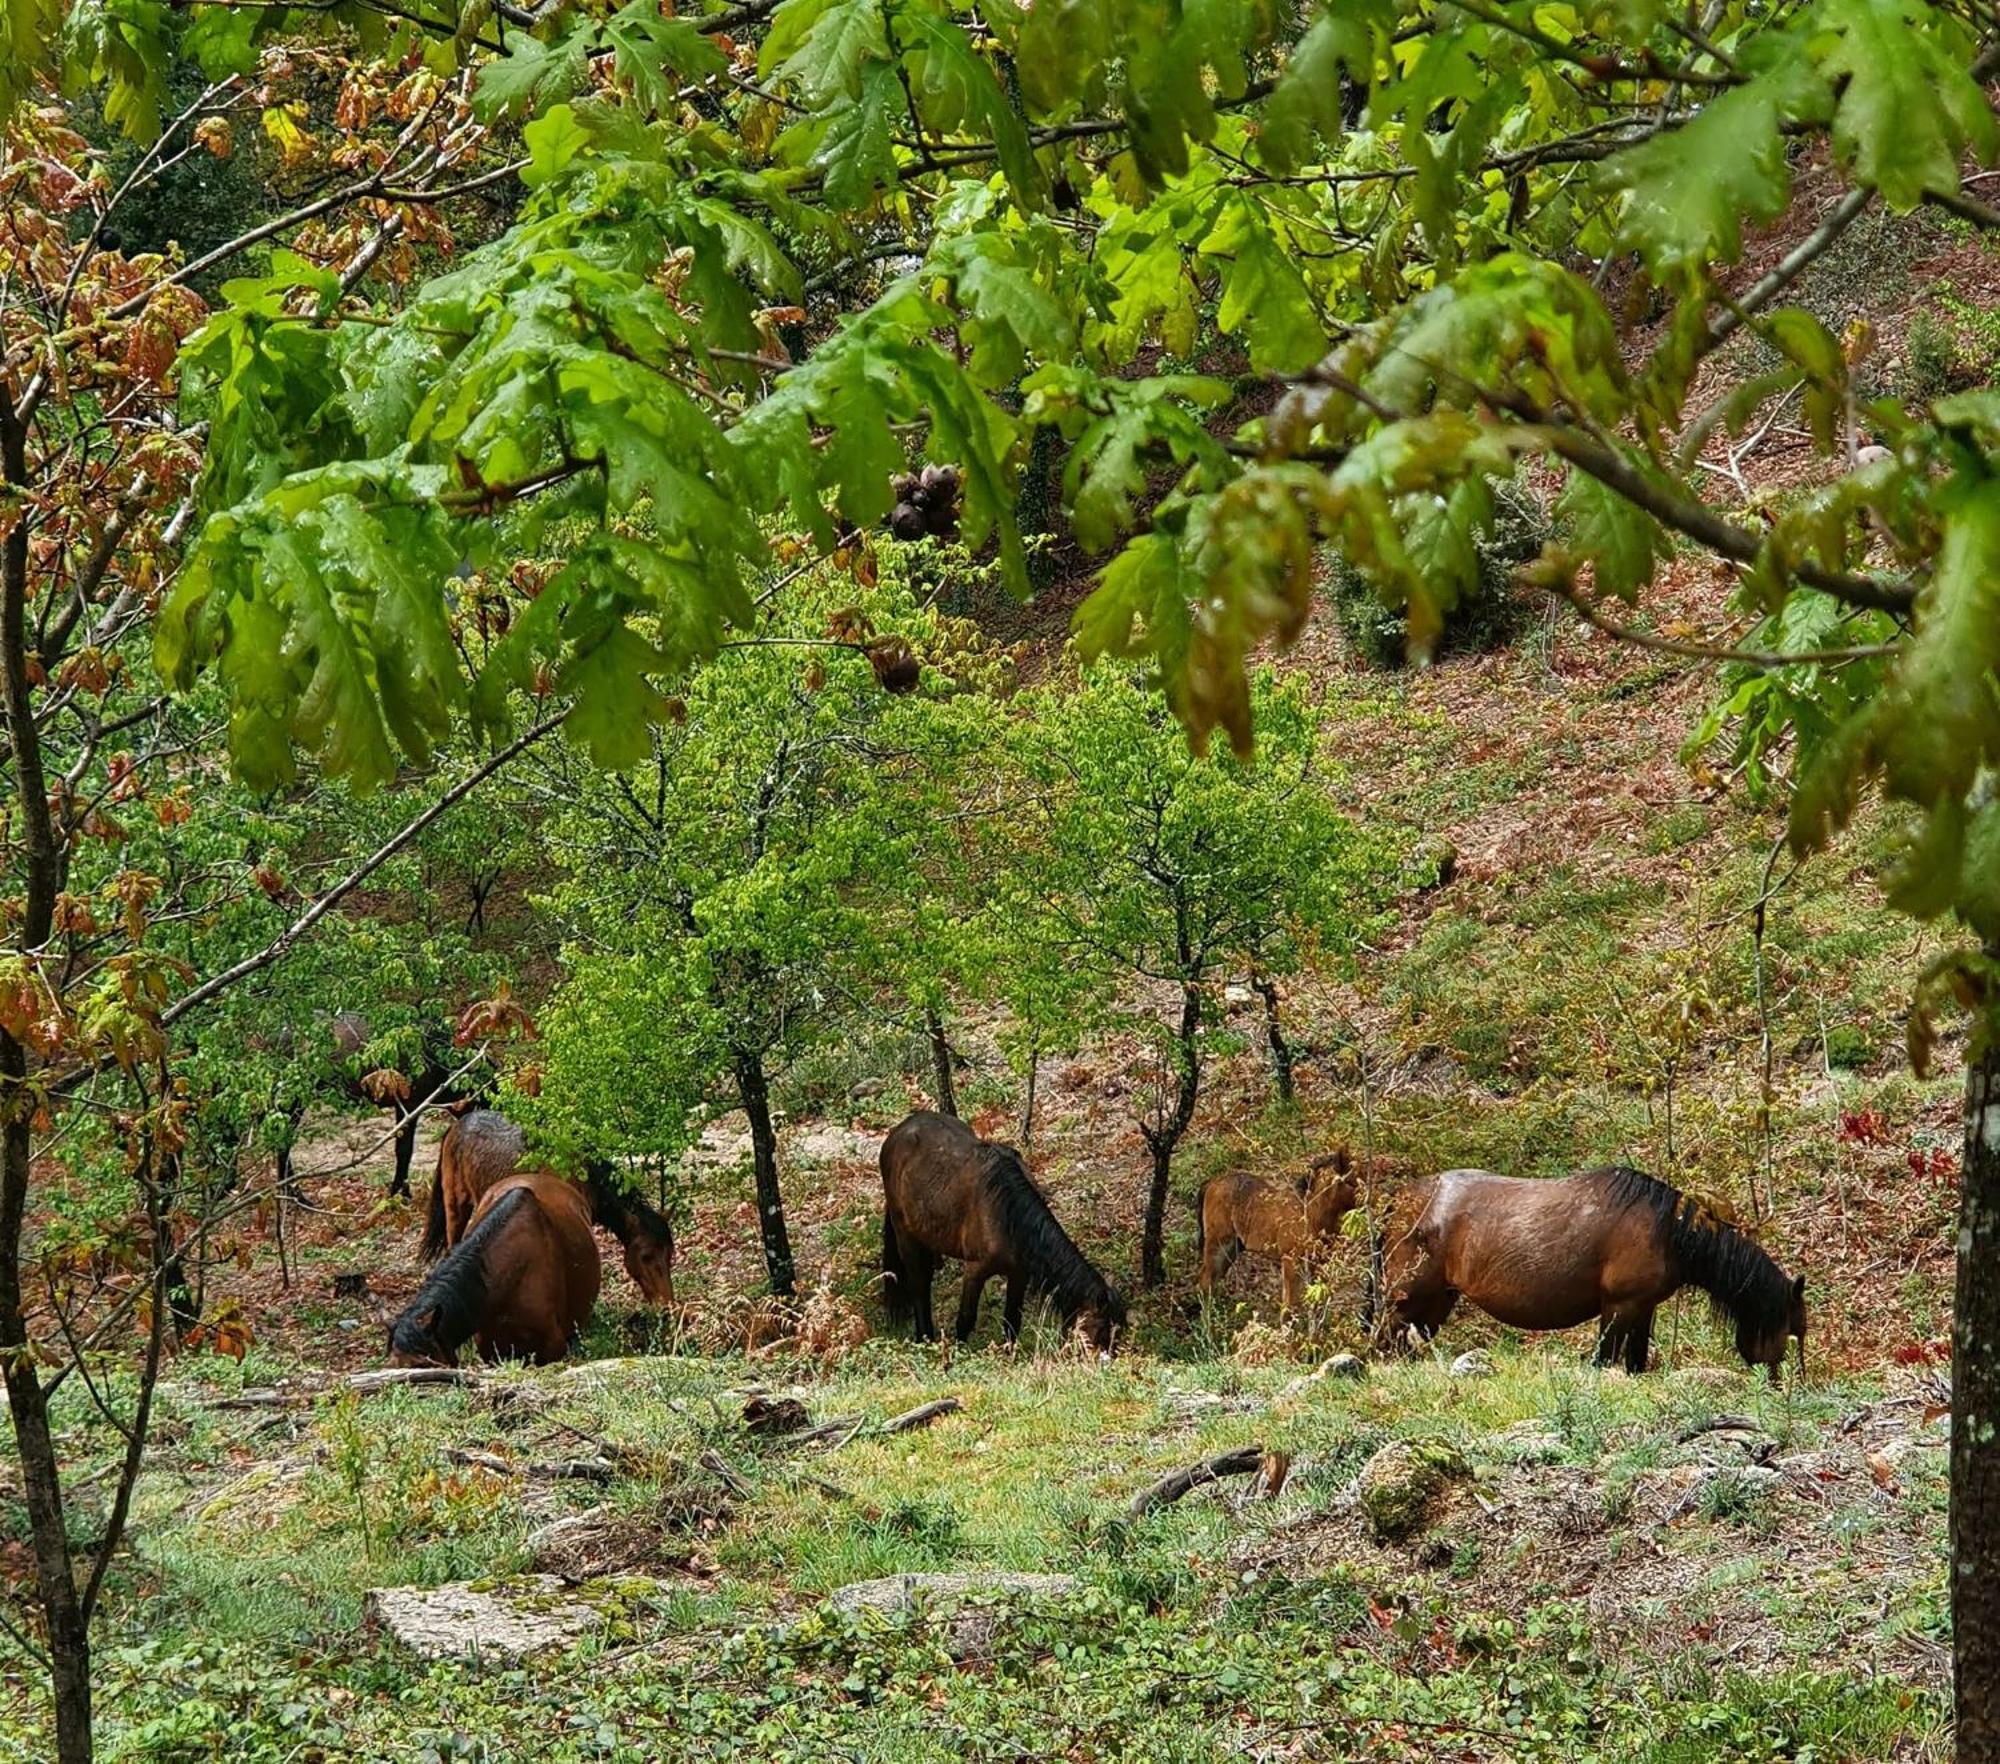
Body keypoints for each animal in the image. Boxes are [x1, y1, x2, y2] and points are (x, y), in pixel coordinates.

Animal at [416, 1104, 680, 1296]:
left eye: (669, 1254)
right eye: (646, 1256)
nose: (666, 1304)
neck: (584, 1175)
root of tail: (455, 1126)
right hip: (456, 1206)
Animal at [876, 1112, 1128, 1344]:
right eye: (1100, 1332)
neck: (1009, 1216)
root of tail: (899, 1130)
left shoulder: (1019, 1275)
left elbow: (1012, 1320)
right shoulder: (975, 1271)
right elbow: (965, 1318)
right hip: (905, 1235)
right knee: (919, 1285)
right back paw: (924, 1337)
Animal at [1192, 1152, 1368, 1312]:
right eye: (1354, 1179)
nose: (1369, 1200)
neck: (1310, 1211)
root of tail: (1212, 1182)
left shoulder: (1317, 1264)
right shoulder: (1291, 1261)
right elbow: (1290, 1303)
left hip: (1232, 1249)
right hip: (1218, 1245)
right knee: (1206, 1282)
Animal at [1384, 1168, 1808, 1376]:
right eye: (1792, 1332)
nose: (1787, 1387)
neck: (1666, 1232)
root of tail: (1404, 1198)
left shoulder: (1642, 1308)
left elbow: (1636, 1362)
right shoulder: (1618, 1307)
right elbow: (1604, 1361)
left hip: (1437, 1302)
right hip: (1407, 1300)